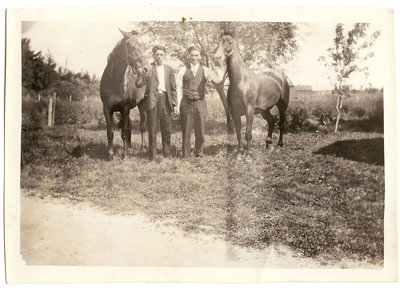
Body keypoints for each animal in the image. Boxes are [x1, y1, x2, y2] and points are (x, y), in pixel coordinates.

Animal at [100, 29, 152, 160]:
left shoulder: (125, 108)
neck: (113, 81)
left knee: (142, 127)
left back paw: (142, 147)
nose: (147, 70)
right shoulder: (107, 109)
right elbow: (110, 132)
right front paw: (110, 155)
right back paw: (130, 146)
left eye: (145, 46)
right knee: (130, 126)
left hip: (141, 106)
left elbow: (124, 132)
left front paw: (124, 155)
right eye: (132, 46)